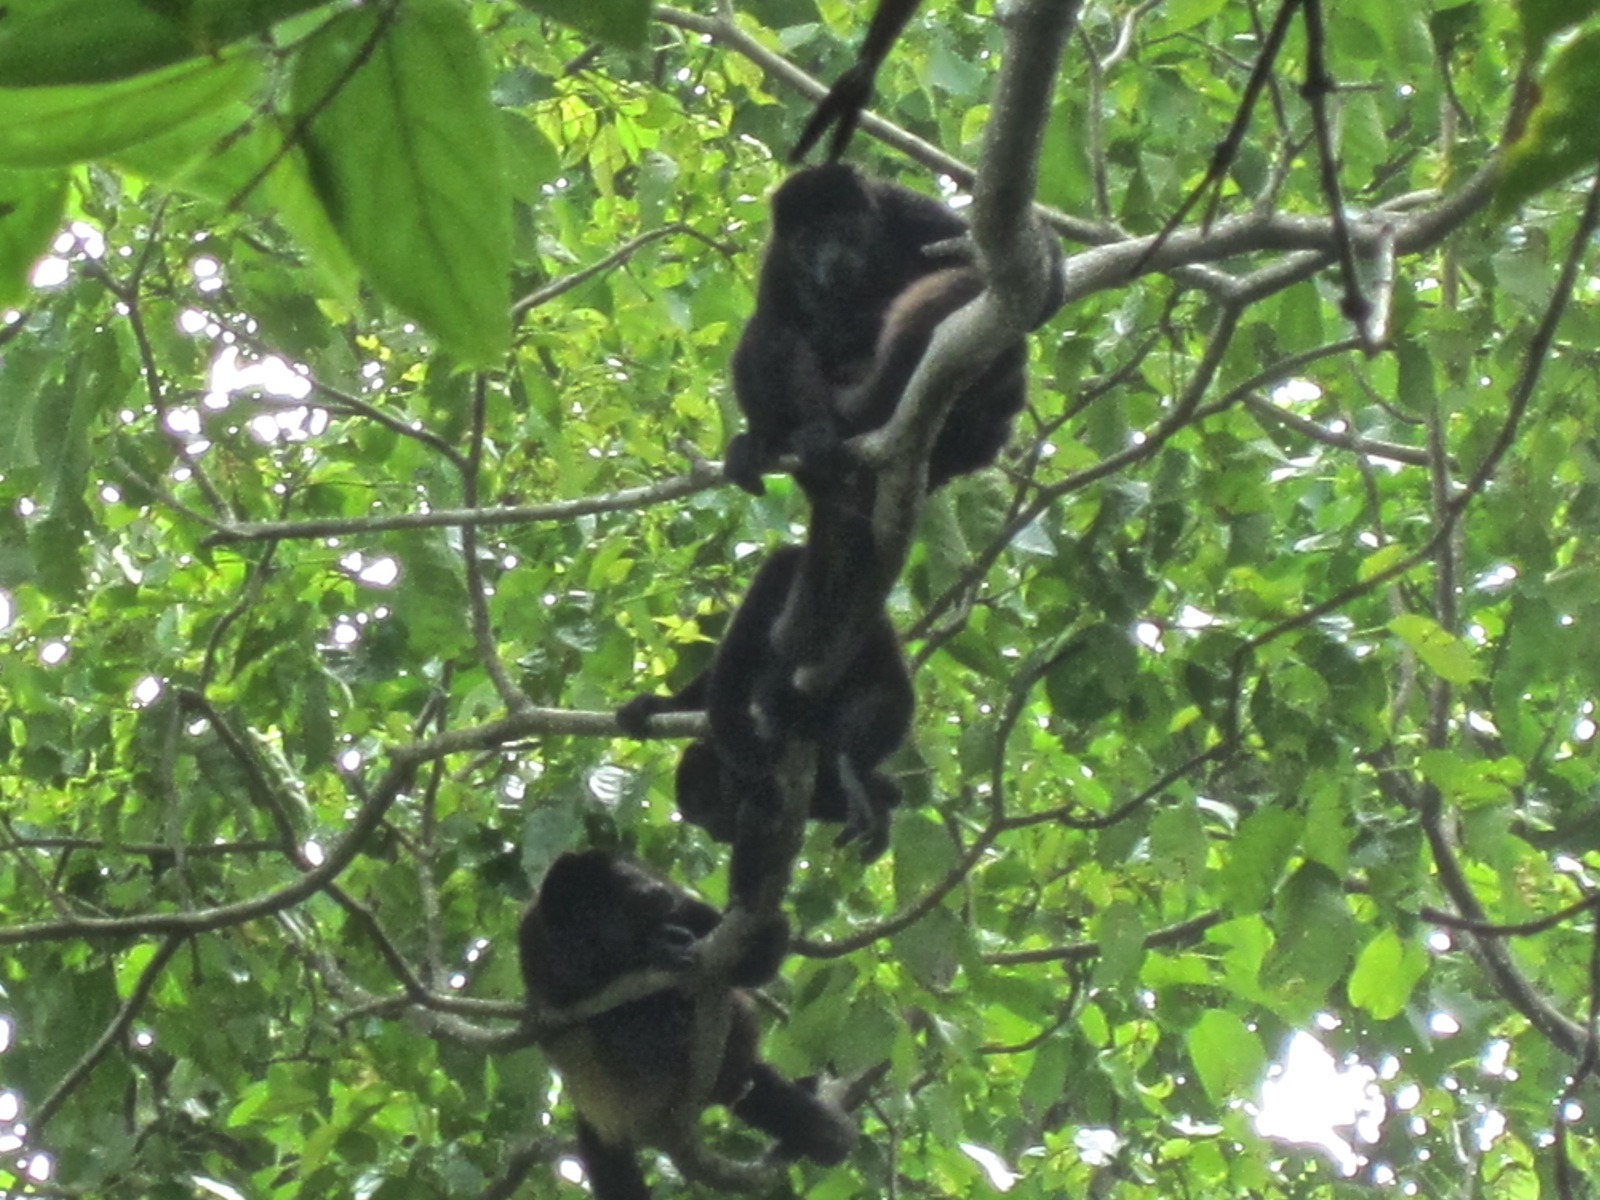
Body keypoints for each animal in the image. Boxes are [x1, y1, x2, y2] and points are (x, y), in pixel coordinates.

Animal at [519, 850, 856, 1200]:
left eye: (623, 877)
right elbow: (590, 1016)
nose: (647, 892)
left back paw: (821, 1131)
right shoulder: (542, 956)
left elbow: (753, 966)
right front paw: (656, 951)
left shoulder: (681, 904)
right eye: (602, 908)